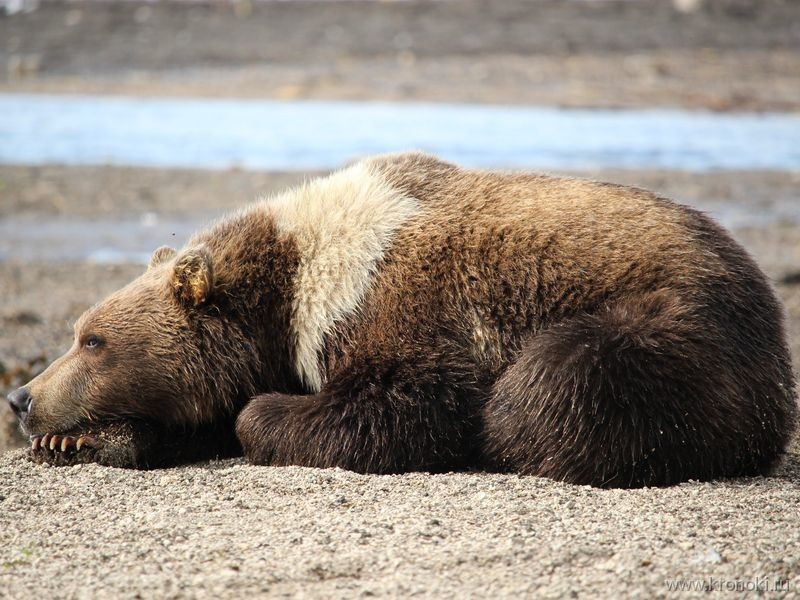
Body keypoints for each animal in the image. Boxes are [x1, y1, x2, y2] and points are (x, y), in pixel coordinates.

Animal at [6, 151, 800, 488]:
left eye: (93, 340)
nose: (21, 396)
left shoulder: (399, 303)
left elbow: (409, 402)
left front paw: (267, 416)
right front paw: (82, 442)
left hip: (676, 324)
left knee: (554, 383)